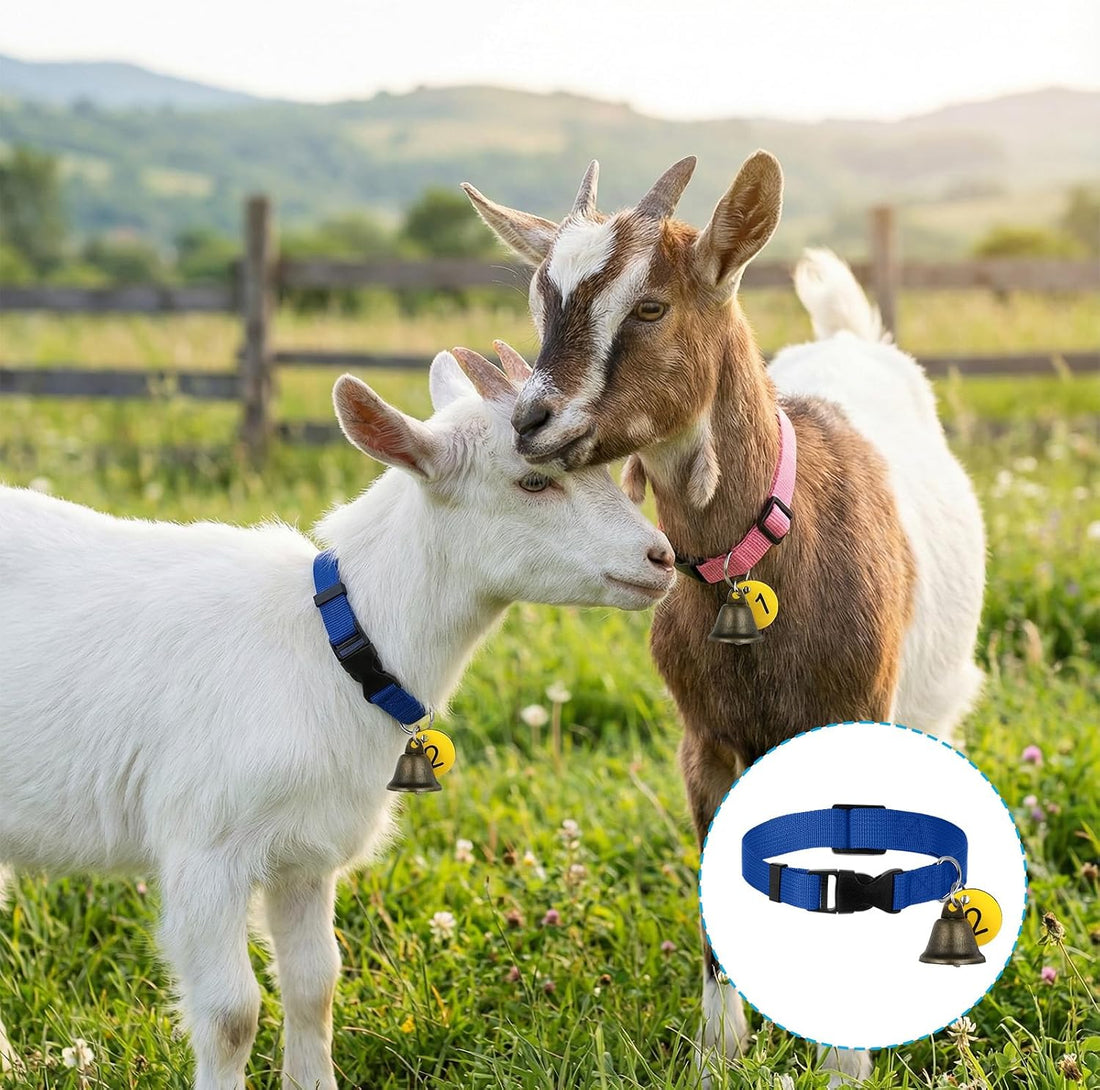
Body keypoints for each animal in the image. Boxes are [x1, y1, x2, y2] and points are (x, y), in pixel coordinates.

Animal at [0, 346, 675, 1090]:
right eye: (532, 482)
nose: (661, 558)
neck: (329, 640)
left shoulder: (305, 852)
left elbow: (314, 983)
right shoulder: (204, 848)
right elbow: (231, 1014)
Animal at [464, 157, 985, 1082]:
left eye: (650, 306)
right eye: (540, 301)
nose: (531, 422)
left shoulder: (854, 719)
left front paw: (845, 1065)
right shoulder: (702, 742)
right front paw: (718, 1055)